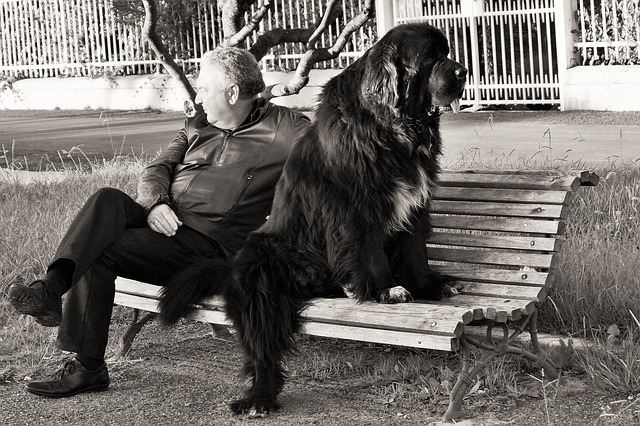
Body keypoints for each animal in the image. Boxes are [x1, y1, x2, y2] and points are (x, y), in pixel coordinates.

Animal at [158, 22, 468, 416]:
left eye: (447, 52)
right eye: (430, 58)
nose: (464, 71)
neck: (390, 125)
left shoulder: (415, 199)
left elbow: (415, 250)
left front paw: (430, 284)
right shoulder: (356, 205)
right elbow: (370, 250)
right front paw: (384, 288)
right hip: (263, 274)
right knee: (262, 344)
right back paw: (260, 396)